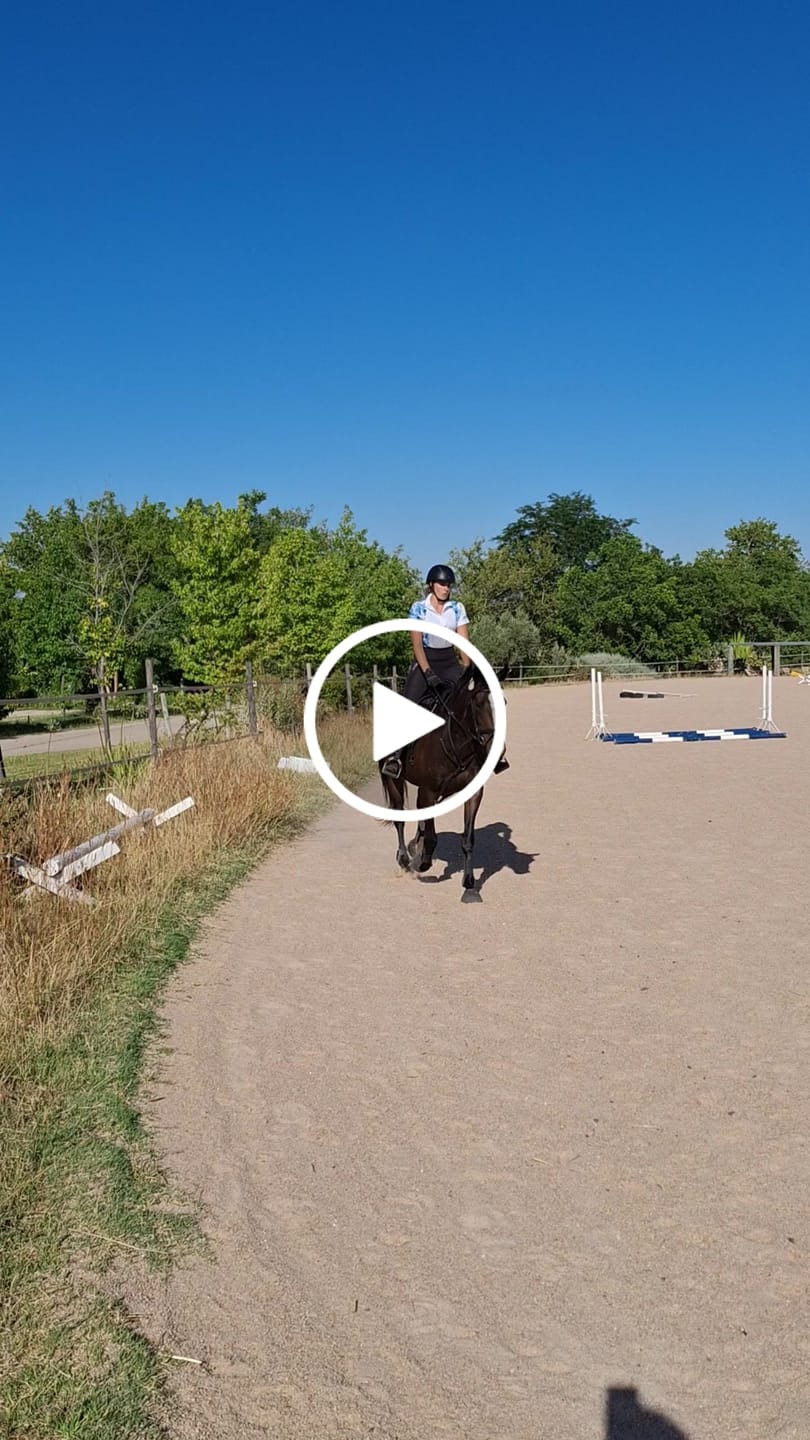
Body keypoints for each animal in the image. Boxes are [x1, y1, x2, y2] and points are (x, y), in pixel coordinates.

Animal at [378, 665, 502, 902]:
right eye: (478, 704)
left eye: (504, 703)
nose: (496, 750)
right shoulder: (429, 791)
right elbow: (432, 836)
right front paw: (422, 863)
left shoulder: (473, 794)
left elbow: (468, 839)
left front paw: (470, 886)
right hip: (393, 781)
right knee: (400, 819)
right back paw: (405, 860)